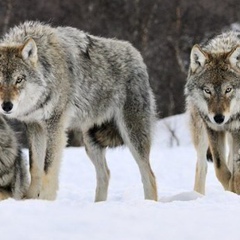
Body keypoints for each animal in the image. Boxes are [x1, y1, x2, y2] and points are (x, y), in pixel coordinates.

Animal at [0, 21, 158, 201]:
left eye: (19, 79)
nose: (6, 106)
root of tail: (137, 55)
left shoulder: (55, 126)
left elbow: (48, 169)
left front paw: (46, 200)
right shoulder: (34, 126)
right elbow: (35, 168)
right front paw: (31, 200)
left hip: (132, 135)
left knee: (149, 176)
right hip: (90, 141)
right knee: (105, 174)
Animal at [185, 30, 240, 195]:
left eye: (228, 89)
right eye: (207, 91)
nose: (219, 118)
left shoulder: (237, 131)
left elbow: (236, 174)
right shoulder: (213, 129)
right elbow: (221, 170)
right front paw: (230, 191)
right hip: (201, 132)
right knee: (202, 166)